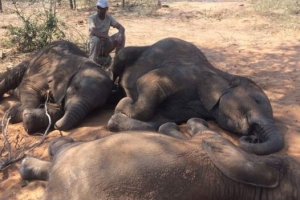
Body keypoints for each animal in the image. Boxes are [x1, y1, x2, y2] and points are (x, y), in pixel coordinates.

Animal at [106, 37, 284, 155]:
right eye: (257, 100)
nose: (254, 138)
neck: (223, 76)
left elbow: (159, 120)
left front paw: (116, 118)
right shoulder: (185, 75)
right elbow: (148, 81)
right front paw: (123, 103)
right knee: (120, 59)